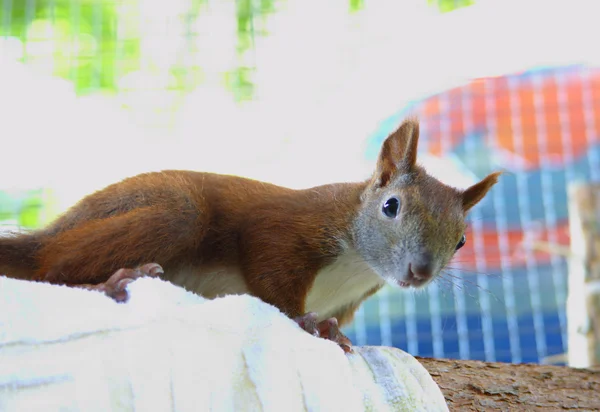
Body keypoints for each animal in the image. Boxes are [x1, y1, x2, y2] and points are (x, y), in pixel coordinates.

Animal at [0, 118, 500, 350]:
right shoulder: (287, 227)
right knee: (50, 272)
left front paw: (334, 331)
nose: (420, 271)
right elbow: (270, 270)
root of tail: (49, 233)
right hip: (172, 212)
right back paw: (109, 283)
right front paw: (306, 322)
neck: (357, 264)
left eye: (461, 240)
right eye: (391, 206)